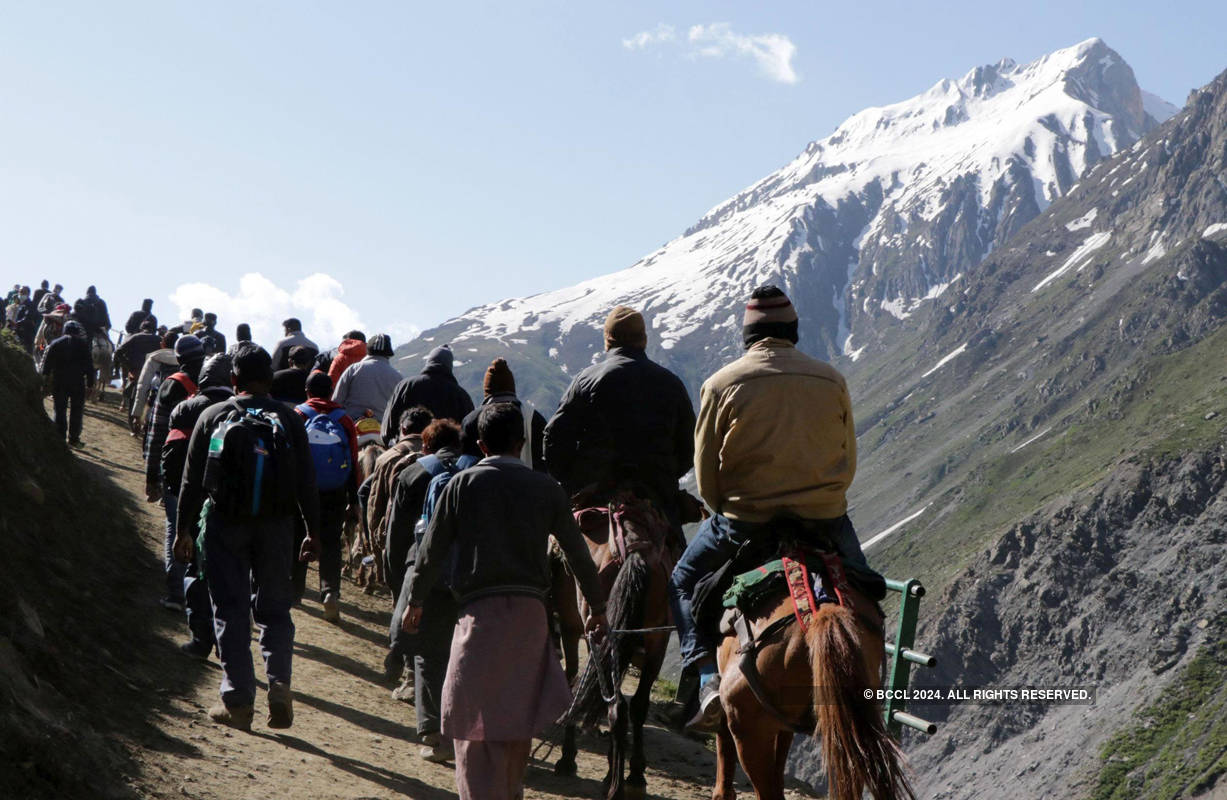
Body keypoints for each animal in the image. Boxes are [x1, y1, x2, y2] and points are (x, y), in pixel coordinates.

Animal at [561, 493, 677, 800]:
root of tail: (634, 551)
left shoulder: (569, 626)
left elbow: (572, 681)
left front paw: (567, 758)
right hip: (655, 644)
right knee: (635, 705)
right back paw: (631, 777)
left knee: (615, 704)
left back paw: (614, 782)